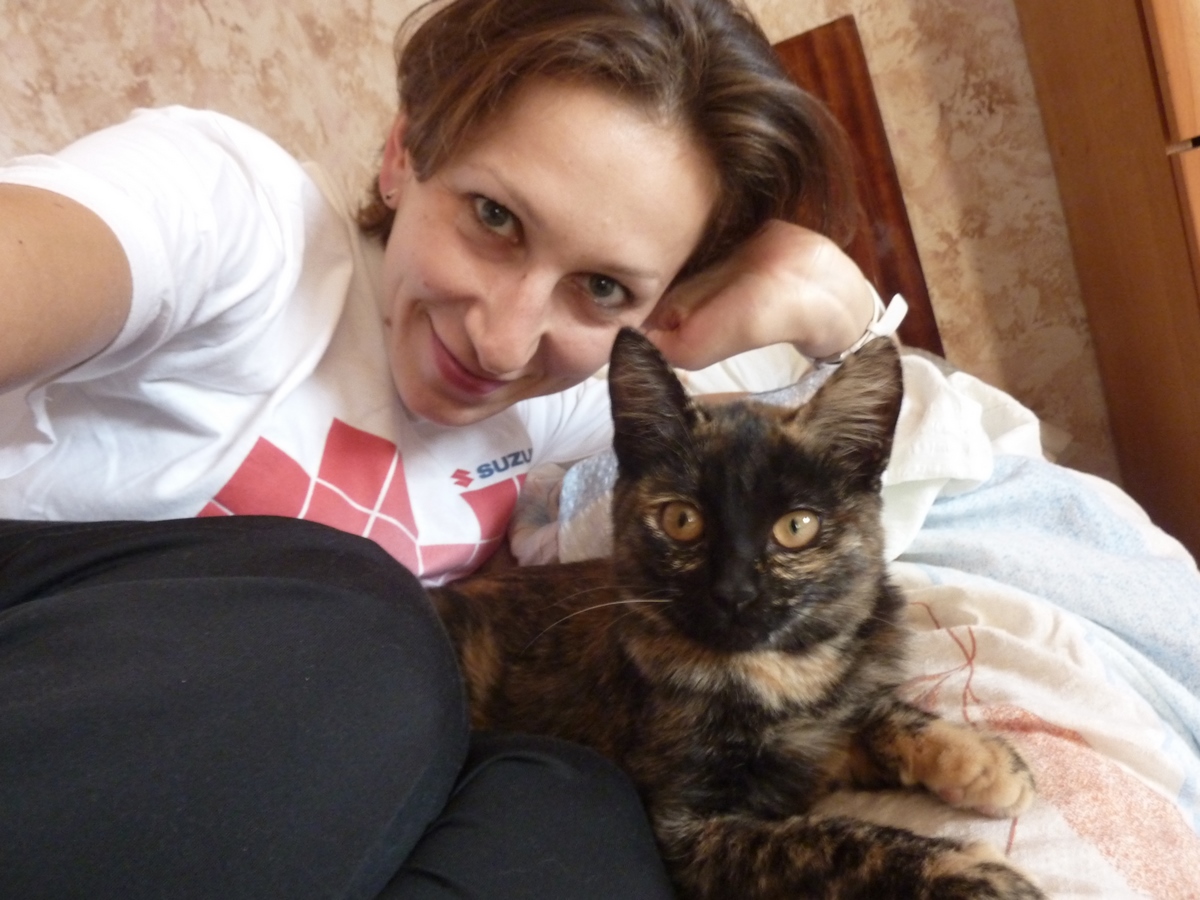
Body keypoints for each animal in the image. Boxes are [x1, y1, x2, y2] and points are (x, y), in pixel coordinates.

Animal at [431, 328, 1044, 899]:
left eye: (796, 527)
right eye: (681, 520)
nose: (734, 591)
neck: (777, 673)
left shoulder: (820, 738)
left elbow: (877, 713)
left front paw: (986, 762)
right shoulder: (689, 830)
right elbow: (832, 843)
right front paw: (976, 873)